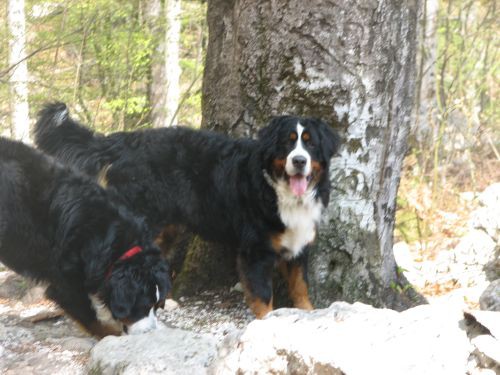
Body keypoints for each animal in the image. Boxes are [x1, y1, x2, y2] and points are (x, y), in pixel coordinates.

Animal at [34, 103, 340, 320]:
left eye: (310, 142)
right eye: (287, 142)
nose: (299, 161)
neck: (278, 191)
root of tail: (125, 141)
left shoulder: (299, 244)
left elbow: (300, 287)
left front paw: (309, 314)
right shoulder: (255, 250)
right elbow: (263, 295)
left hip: (166, 229)